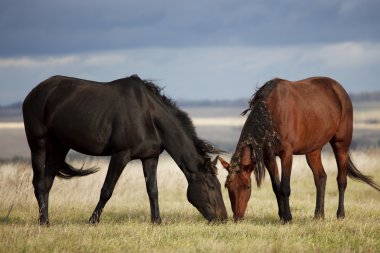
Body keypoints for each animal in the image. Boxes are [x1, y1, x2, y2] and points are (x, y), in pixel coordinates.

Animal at [23, 74, 229, 224]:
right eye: (211, 185)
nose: (223, 219)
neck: (149, 117)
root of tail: (34, 93)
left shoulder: (150, 157)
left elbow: (153, 190)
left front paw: (157, 221)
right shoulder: (120, 155)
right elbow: (107, 189)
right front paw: (93, 220)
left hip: (60, 146)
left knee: (47, 182)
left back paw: (46, 219)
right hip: (38, 144)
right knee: (39, 182)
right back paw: (43, 222)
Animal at [218, 76, 380, 222]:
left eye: (247, 186)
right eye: (228, 187)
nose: (237, 218)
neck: (271, 114)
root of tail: (340, 91)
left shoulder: (286, 154)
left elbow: (285, 187)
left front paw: (288, 218)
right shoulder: (269, 157)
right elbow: (276, 187)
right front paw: (281, 216)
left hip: (341, 145)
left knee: (341, 180)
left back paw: (340, 215)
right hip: (313, 150)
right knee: (320, 178)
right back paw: (318, 215)